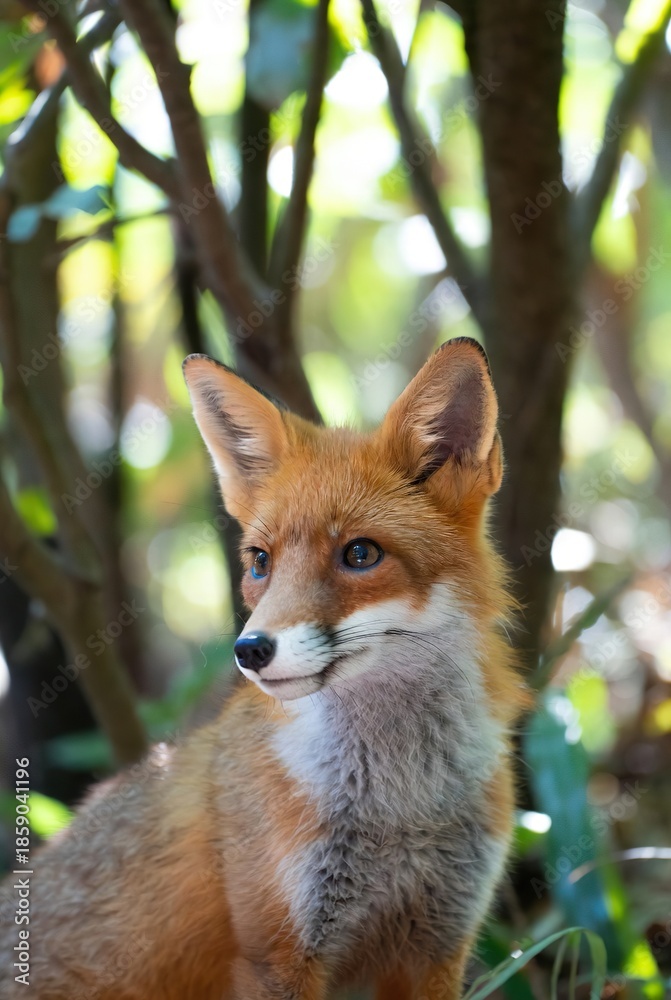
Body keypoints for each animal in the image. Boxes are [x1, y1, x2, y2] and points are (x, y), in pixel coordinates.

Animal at [0, 337, 528, 999]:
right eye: (259, 561)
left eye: (360, 554)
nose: (249, 649)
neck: (400, 810)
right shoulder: (274, 953)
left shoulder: (437, 946)